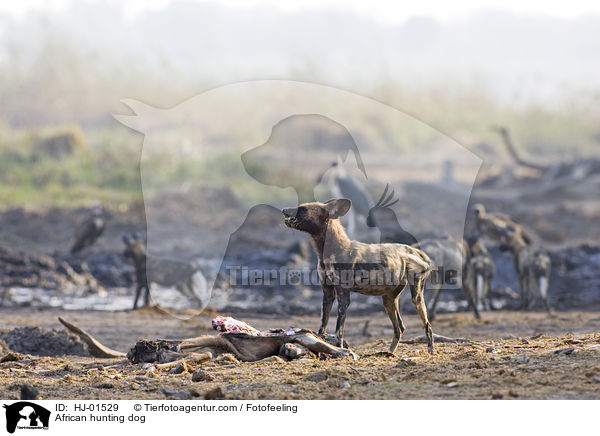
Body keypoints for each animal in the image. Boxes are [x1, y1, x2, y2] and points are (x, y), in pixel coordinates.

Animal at [282, 198, 436, 354]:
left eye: (303, 209)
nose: (283, 210)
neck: (329, 251)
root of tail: (416, 251)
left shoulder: (343, 295)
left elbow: (339, 331)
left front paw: (339, 349)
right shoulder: (328, 294)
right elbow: (322, 325)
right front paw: (320, 344)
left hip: (416, 297)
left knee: (427, 326)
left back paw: (430, 350)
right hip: (388, 299)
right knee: (399, 328)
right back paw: (389, 353)